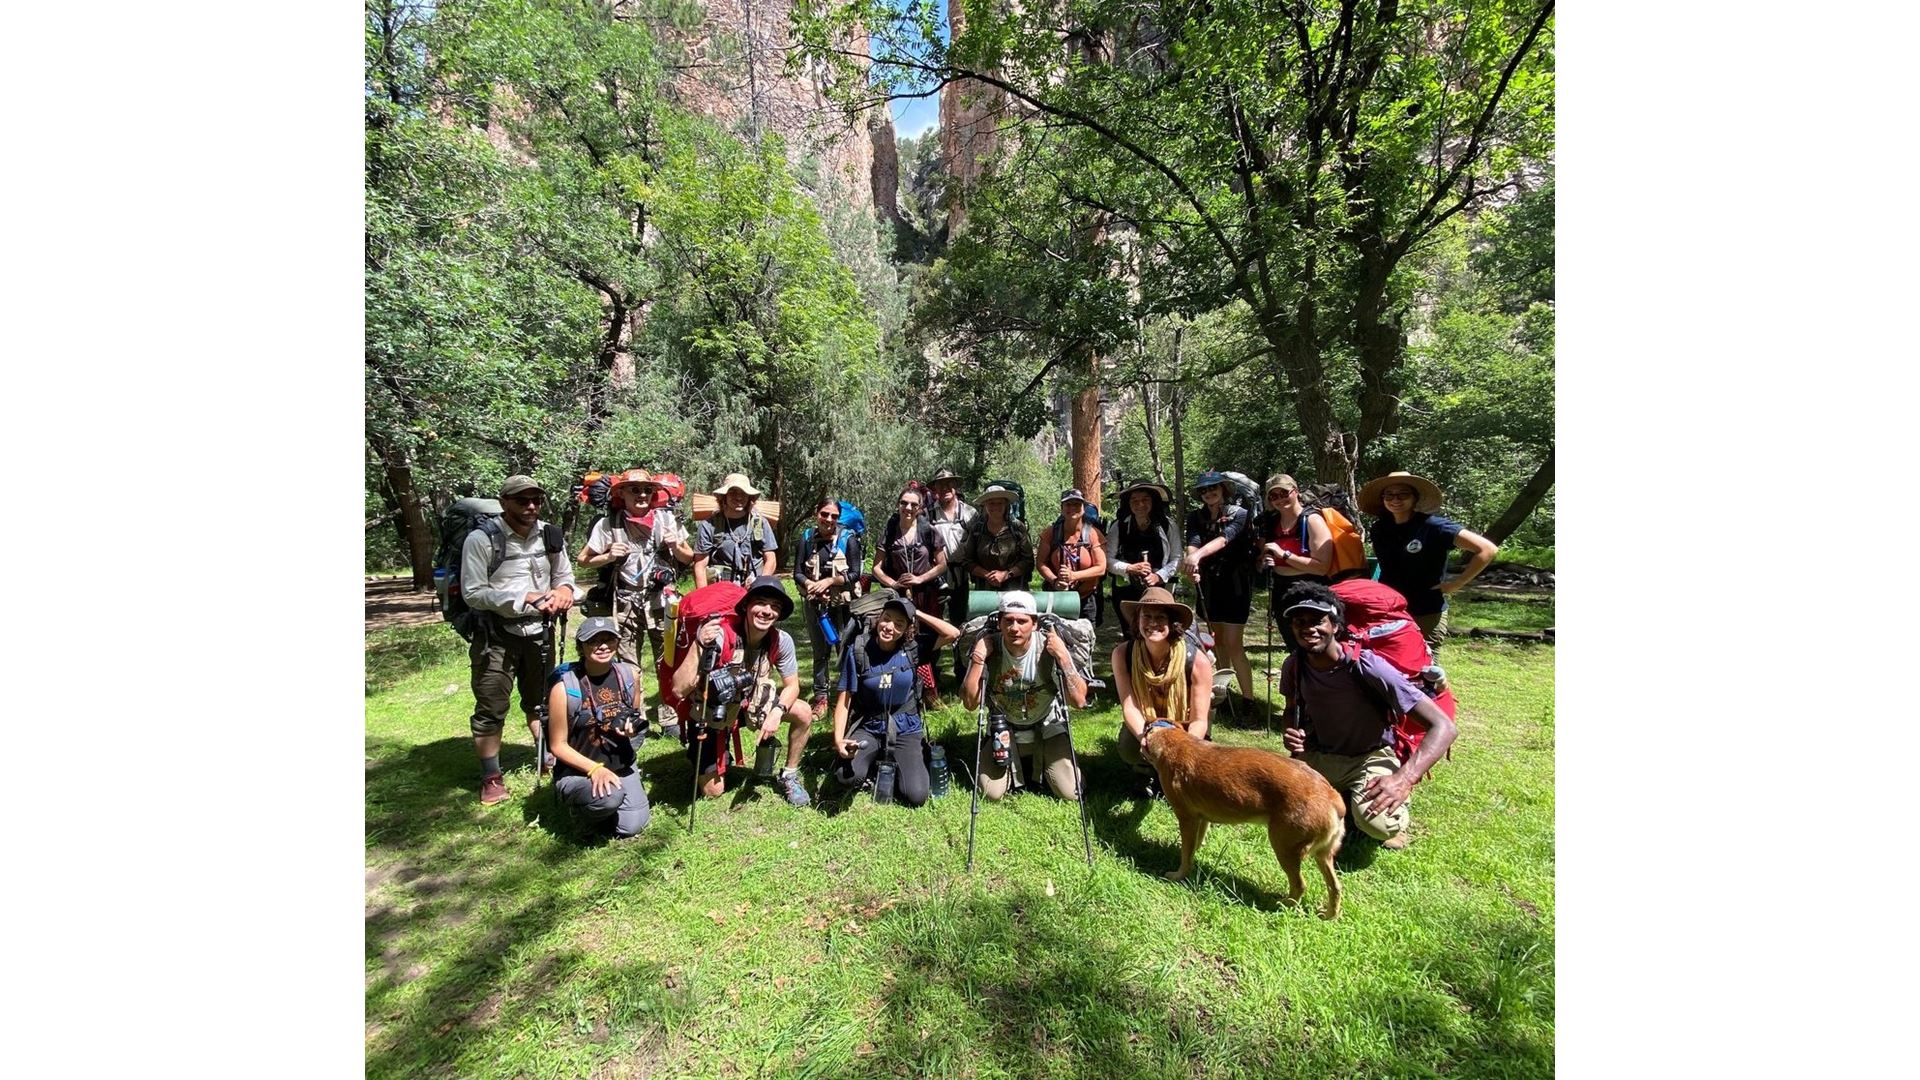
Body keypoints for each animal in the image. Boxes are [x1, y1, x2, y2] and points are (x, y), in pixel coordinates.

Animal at [1144, 718, 1344, 910]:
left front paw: (1178, 875)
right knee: (1335, 887)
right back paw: (1328, 914)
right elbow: (1195, 844)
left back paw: (1283, 905)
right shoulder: (1202, 818)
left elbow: (1186, 855)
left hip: (1284, 847)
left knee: (1300, 885)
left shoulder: (1187, 817)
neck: (1172, 737)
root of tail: (1332, 797)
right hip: (1322, 855)